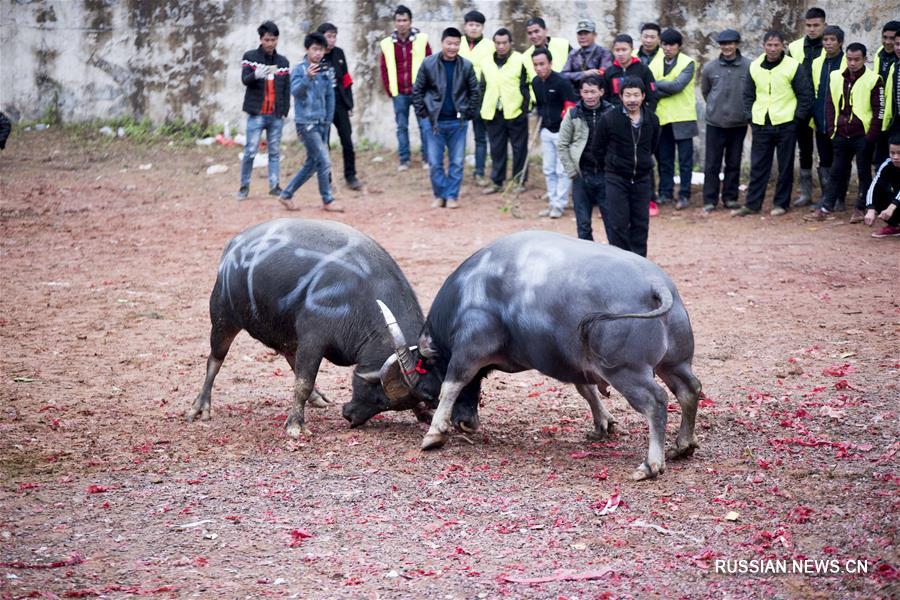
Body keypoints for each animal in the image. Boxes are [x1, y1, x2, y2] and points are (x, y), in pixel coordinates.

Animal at [188, 219, 442, 436]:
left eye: (389, 404)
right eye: (380, 398)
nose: (351, 416)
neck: (361, 297)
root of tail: (233, 245)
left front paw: (423, 412)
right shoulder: (313, 338)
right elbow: (303, 382)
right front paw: (295, 425)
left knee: (289, 356)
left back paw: (317, 397)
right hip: (222, 318)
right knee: (215, 360)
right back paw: (201, 406)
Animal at [376, 232, 700, 480]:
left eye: (427, 393)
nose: (465, 422)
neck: (472, 289)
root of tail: (657, 286)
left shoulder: (469, 350)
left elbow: (452, 385)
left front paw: (434, 433)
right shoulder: (573, 362)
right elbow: (587, 390)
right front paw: (602, 425)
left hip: (626, 371)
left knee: (656, 401)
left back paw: (651, 464)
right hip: (675, 362)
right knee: (689, 390)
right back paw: (682, 445)